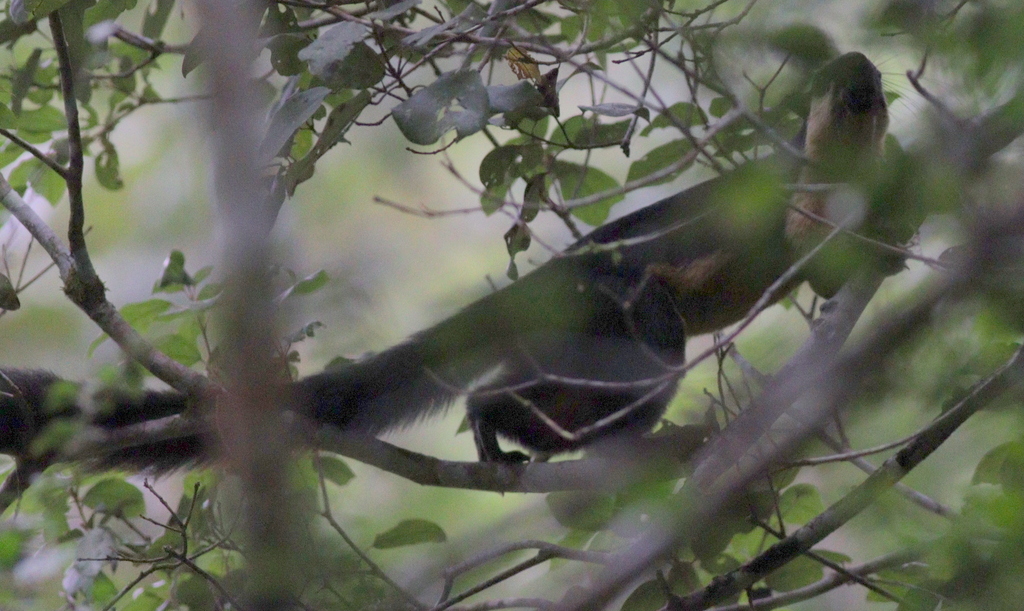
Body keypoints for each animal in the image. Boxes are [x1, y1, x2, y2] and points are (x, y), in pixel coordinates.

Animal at [0, 52, 894, 471]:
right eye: (839, 84)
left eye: (874, 86)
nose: (861, 87)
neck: (839, 166)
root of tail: (556, 269)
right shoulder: (794, 184)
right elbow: (803, 245)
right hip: (599, 301)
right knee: (649, 344)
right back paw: (509, 422)